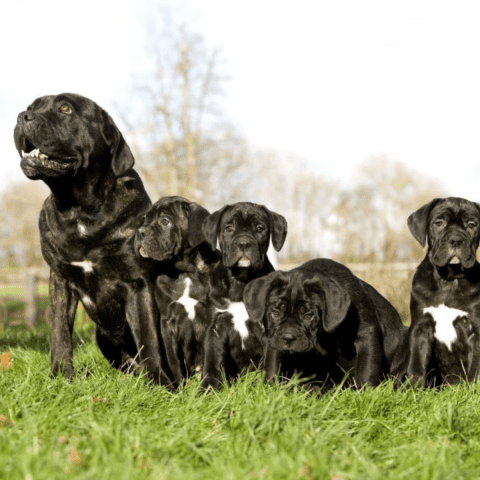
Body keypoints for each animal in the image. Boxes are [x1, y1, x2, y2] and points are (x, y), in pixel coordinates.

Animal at [14, 94, 171, 386]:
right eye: (31, 107)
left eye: (65, 108)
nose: (22, 116)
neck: (80, 210)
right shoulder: (60, 280)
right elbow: (60, 334)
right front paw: (60, 378)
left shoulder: (138, 283)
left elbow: (149, 338)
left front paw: (158, 383)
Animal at [133, 195, 219, 386]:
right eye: (145, 219)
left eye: (165, 221)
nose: (140, 231)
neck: (185, 271)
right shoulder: (167, 322)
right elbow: (173, 359)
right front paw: (179, 387)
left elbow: (209, 354)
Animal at [200, 201, 288, 388]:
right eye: (229, 228)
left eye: (260, 228)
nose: (244, 243)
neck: (241, 282)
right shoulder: (215, 328)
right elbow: (211, 363)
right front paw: (207, 388)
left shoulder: (270, 329)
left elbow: (271, 365)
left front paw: (268, 389)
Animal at [244, 256, 404, 388]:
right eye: (275, 313)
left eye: (309, 316)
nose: (288, 337)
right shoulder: (275, 339)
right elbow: (273, 366)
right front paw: (270, 389)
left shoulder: (366, 334)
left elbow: (367, 368)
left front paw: (365, 394)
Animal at [406, 196, 480, 386]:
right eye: (439, 222)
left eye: (471, 224)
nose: (455, 240)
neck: (450, 279)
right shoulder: (421, 327)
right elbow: (416, 365)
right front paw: (412, 389)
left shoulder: (476, 329)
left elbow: (475, 368)